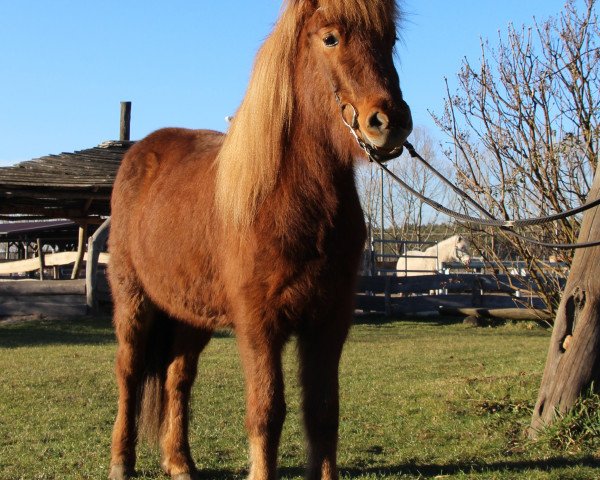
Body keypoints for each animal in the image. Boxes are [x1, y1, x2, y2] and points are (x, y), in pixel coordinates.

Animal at [108, 0, 412, 480]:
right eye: (331, 38)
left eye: (391, 39)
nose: (390, 122)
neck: (286, 199)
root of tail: (141, 153)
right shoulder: (259, 324)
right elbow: (266, 412)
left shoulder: (329, 321)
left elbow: (323, 412)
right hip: (134, 301)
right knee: (130, 372)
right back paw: (121, 461)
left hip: (191, 315)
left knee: (178, 378)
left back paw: (180, 463)